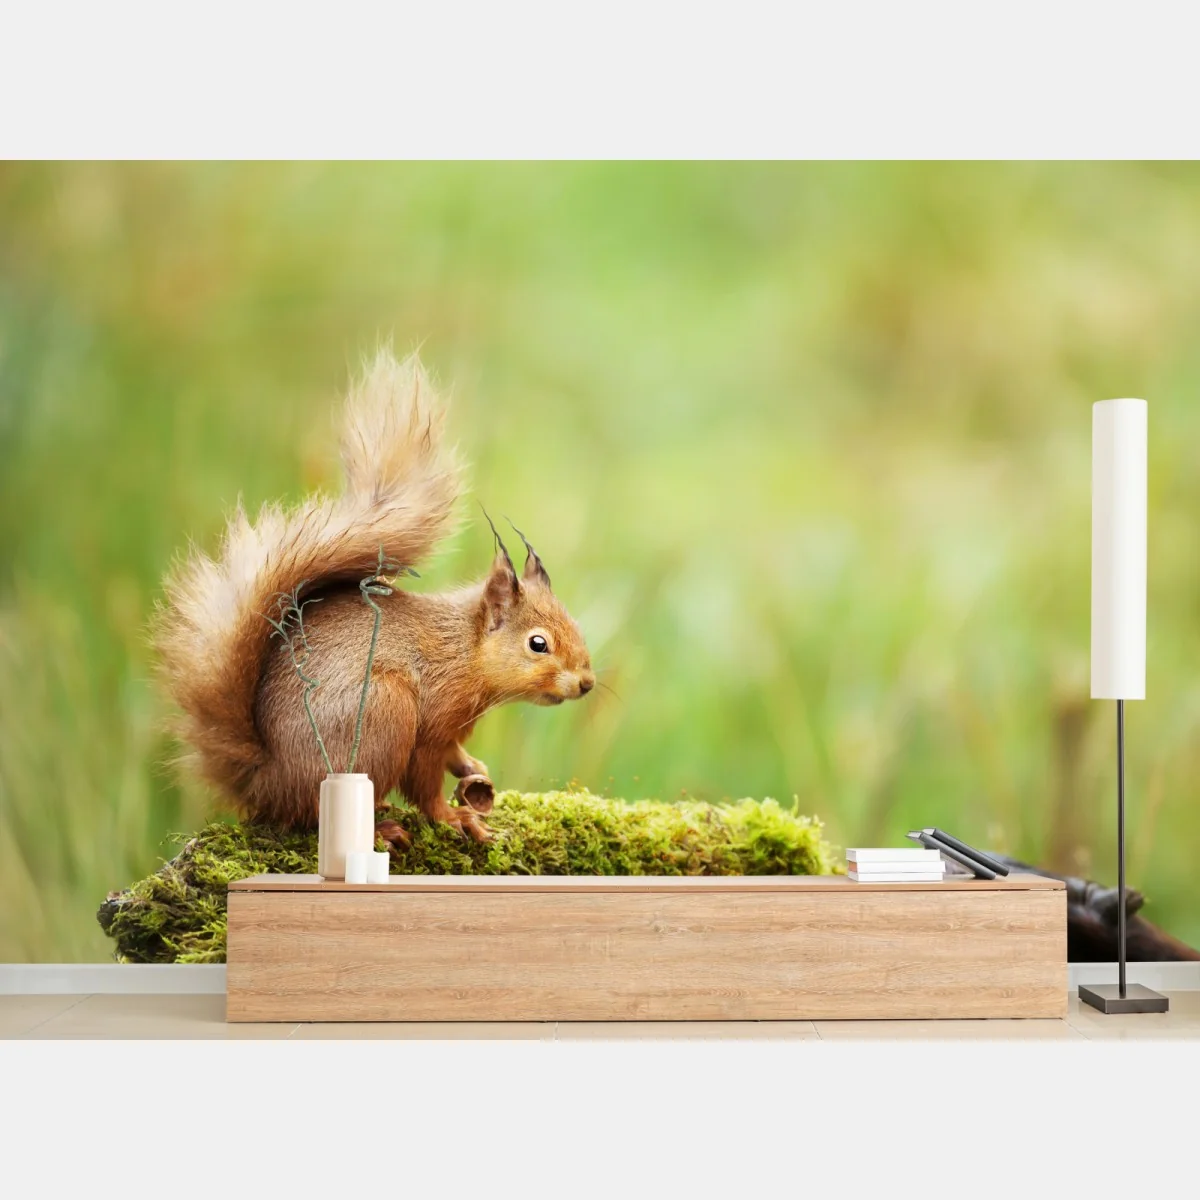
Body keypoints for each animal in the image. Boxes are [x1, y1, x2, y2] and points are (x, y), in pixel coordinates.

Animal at [153, 350, 595, 844]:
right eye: (538, 644)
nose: (587, 682)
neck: (465, 652)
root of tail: (267, 782)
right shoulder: (431, 721)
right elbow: (425, 781)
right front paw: (454, 817)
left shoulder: (452, 728)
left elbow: (453, 755)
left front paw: (472, 768)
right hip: (385, 714)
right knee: (316, 815)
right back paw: (380, 828)